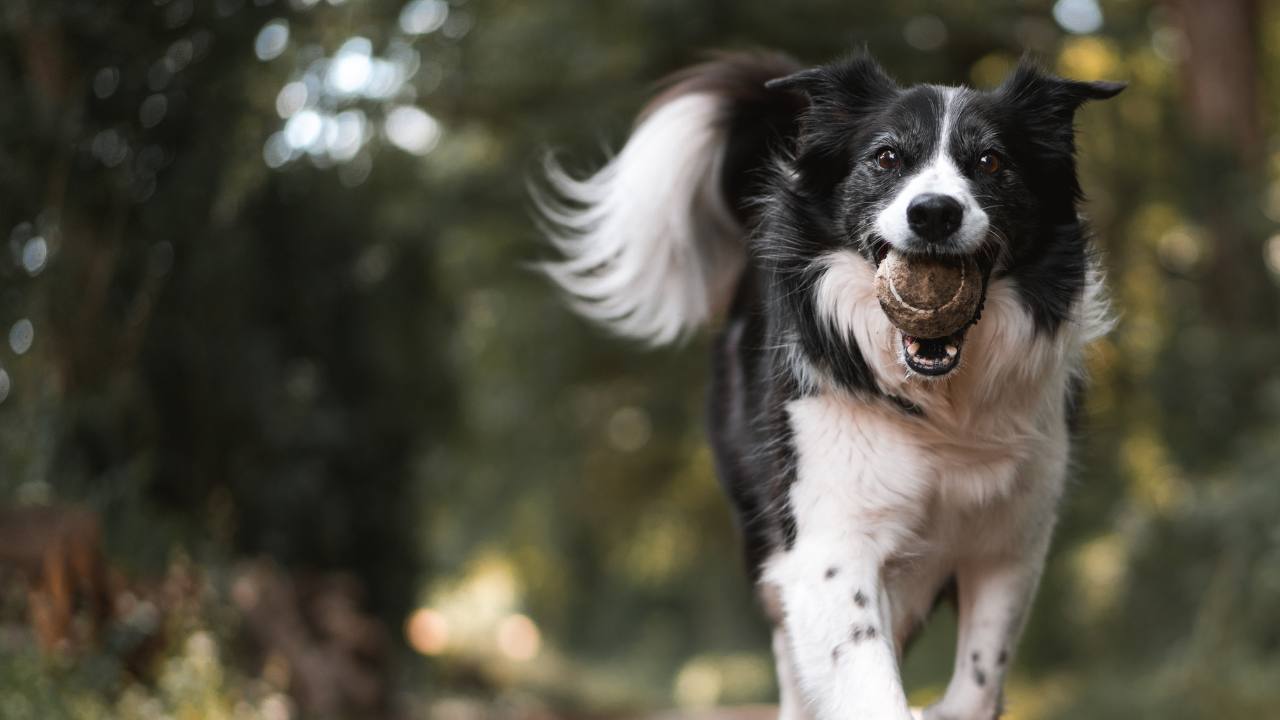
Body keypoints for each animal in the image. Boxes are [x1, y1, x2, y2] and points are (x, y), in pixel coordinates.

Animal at [535, 51, 1126, 717]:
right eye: (887, 157)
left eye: (991, 161)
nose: (934, 212)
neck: (941, 402)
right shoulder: (828, 540)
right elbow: (866, 680)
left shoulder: (1011, 541)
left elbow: (977, 681)